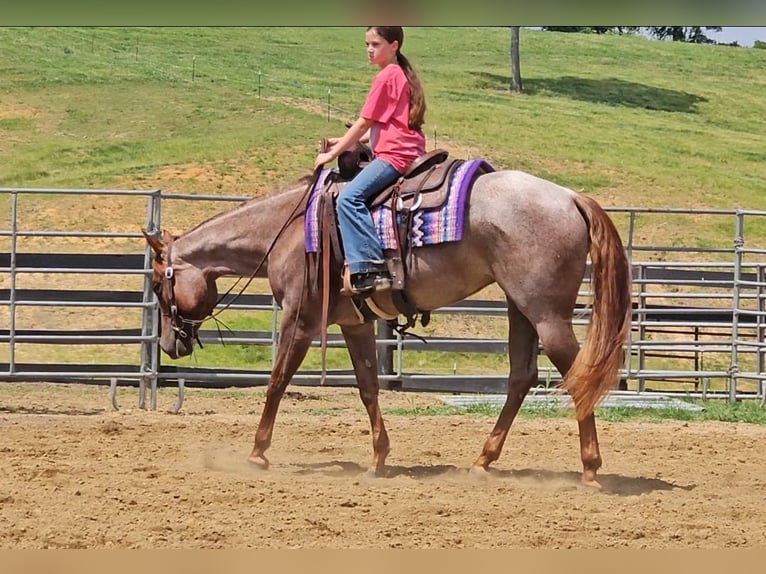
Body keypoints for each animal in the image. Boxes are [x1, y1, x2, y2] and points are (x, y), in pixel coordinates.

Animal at [142, 166, 632, 490]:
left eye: (157, 282)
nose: (168, 344)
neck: (288, 232)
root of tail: (570, 197)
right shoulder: (354, 323)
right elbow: (368, 387)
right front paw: (378, 458)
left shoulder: (300, 319)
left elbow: (277, 381)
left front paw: (257, 452)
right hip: (520, 308)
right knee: (521, 377)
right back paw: (483, 460)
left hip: (546, 312)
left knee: (577, 375)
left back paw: (590, 468)